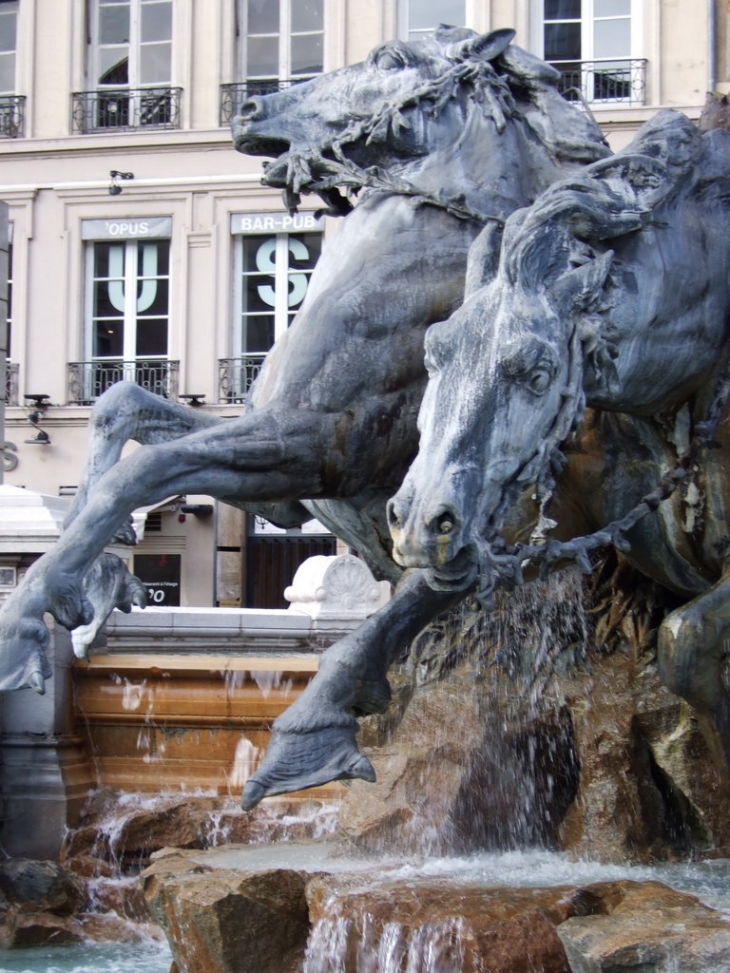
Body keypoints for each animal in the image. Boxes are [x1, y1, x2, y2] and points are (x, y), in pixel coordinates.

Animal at [0, 28, 604, 804]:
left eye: (390, 60)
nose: (253, 106)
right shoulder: (287, 486)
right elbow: (119, 410)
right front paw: (101, 583)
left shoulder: (314, 445)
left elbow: (141, 471)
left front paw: (26, 621)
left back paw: (314, 732)